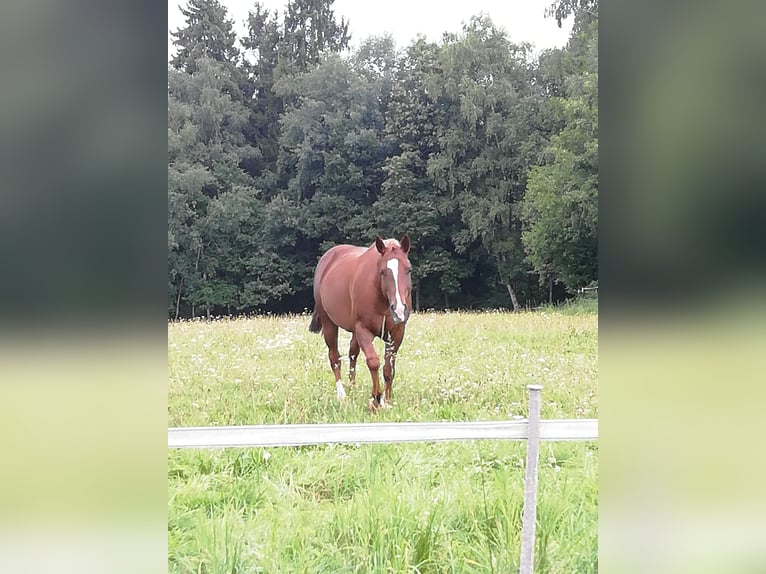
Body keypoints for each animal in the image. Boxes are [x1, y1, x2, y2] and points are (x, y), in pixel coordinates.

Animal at [309, 235, 412, 412]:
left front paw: (388, 401)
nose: (399, 309)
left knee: (353, 354)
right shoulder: (363, 329)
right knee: (334, 358)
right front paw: (376, 399)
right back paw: (342, 395)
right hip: (329, 324)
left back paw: (352, 387)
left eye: (409, 269)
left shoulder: (397, 332)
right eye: (383, 271)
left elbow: (388, 368)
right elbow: (373, 362)